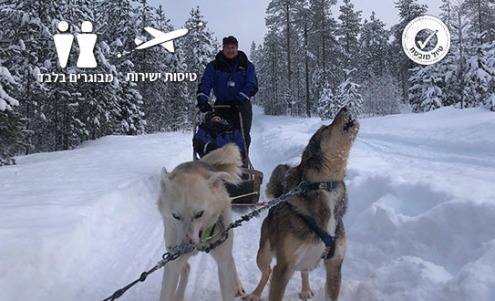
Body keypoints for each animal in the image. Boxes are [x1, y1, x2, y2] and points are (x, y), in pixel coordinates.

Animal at [158, 143, 245, 300]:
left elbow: (227, 270)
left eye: (199, 214)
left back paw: (237, 284)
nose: (186, 245)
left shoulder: (223, 263)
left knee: (231, 260)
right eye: (175, 215)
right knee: (186, 268)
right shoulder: (172, 265)